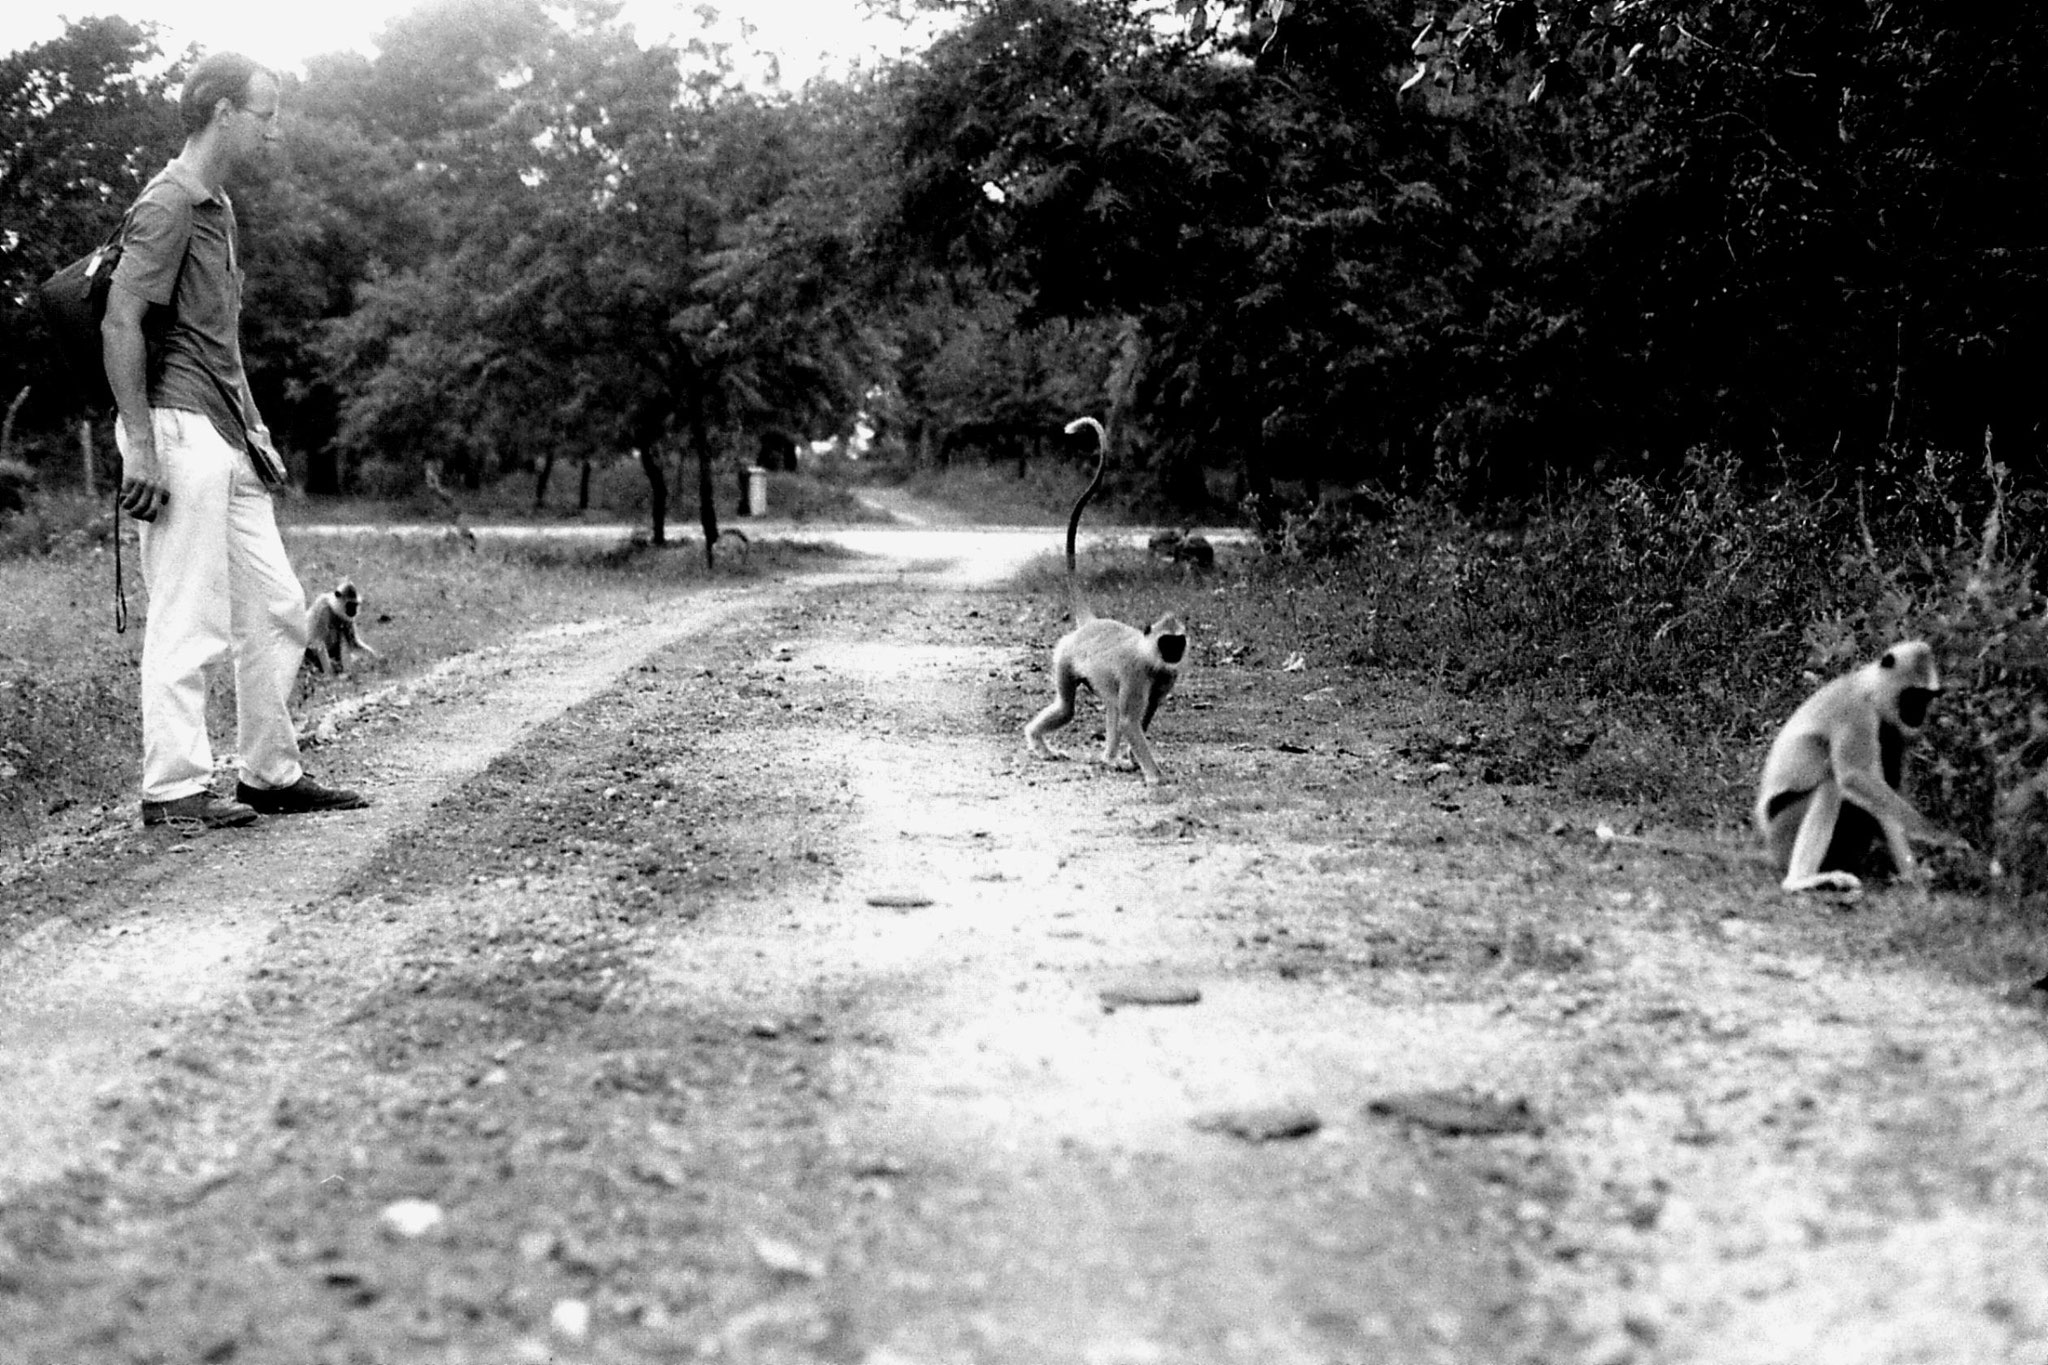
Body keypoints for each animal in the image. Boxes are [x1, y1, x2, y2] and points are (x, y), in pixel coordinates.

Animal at [1019, 413, 1187, 789]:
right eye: (1166, 642)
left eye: (1177, 643)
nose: (1173, 653)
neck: (1150, 654)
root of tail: (1091, 623)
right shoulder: (1138, 672)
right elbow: (1130, 721)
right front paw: (1155, 776)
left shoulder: (1166, 676)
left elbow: (1142, 716)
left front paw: (1134, 761)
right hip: (1064, 657)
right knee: (1069, 708)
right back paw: (1042, 743)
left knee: (1110, 705)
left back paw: (1109, 759)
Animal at [1753, 642, 1957, 896]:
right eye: (1913, 696)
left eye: (1927, 698)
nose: (1918, 714)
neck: (1870, 690)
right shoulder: (1857, 711)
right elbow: (1854, 777)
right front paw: (1937, 837)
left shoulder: (1895, 733)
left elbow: (1886, 796)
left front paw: (1913, 875)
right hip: (1781, 829)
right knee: (1830, 788)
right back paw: (1800, 881)